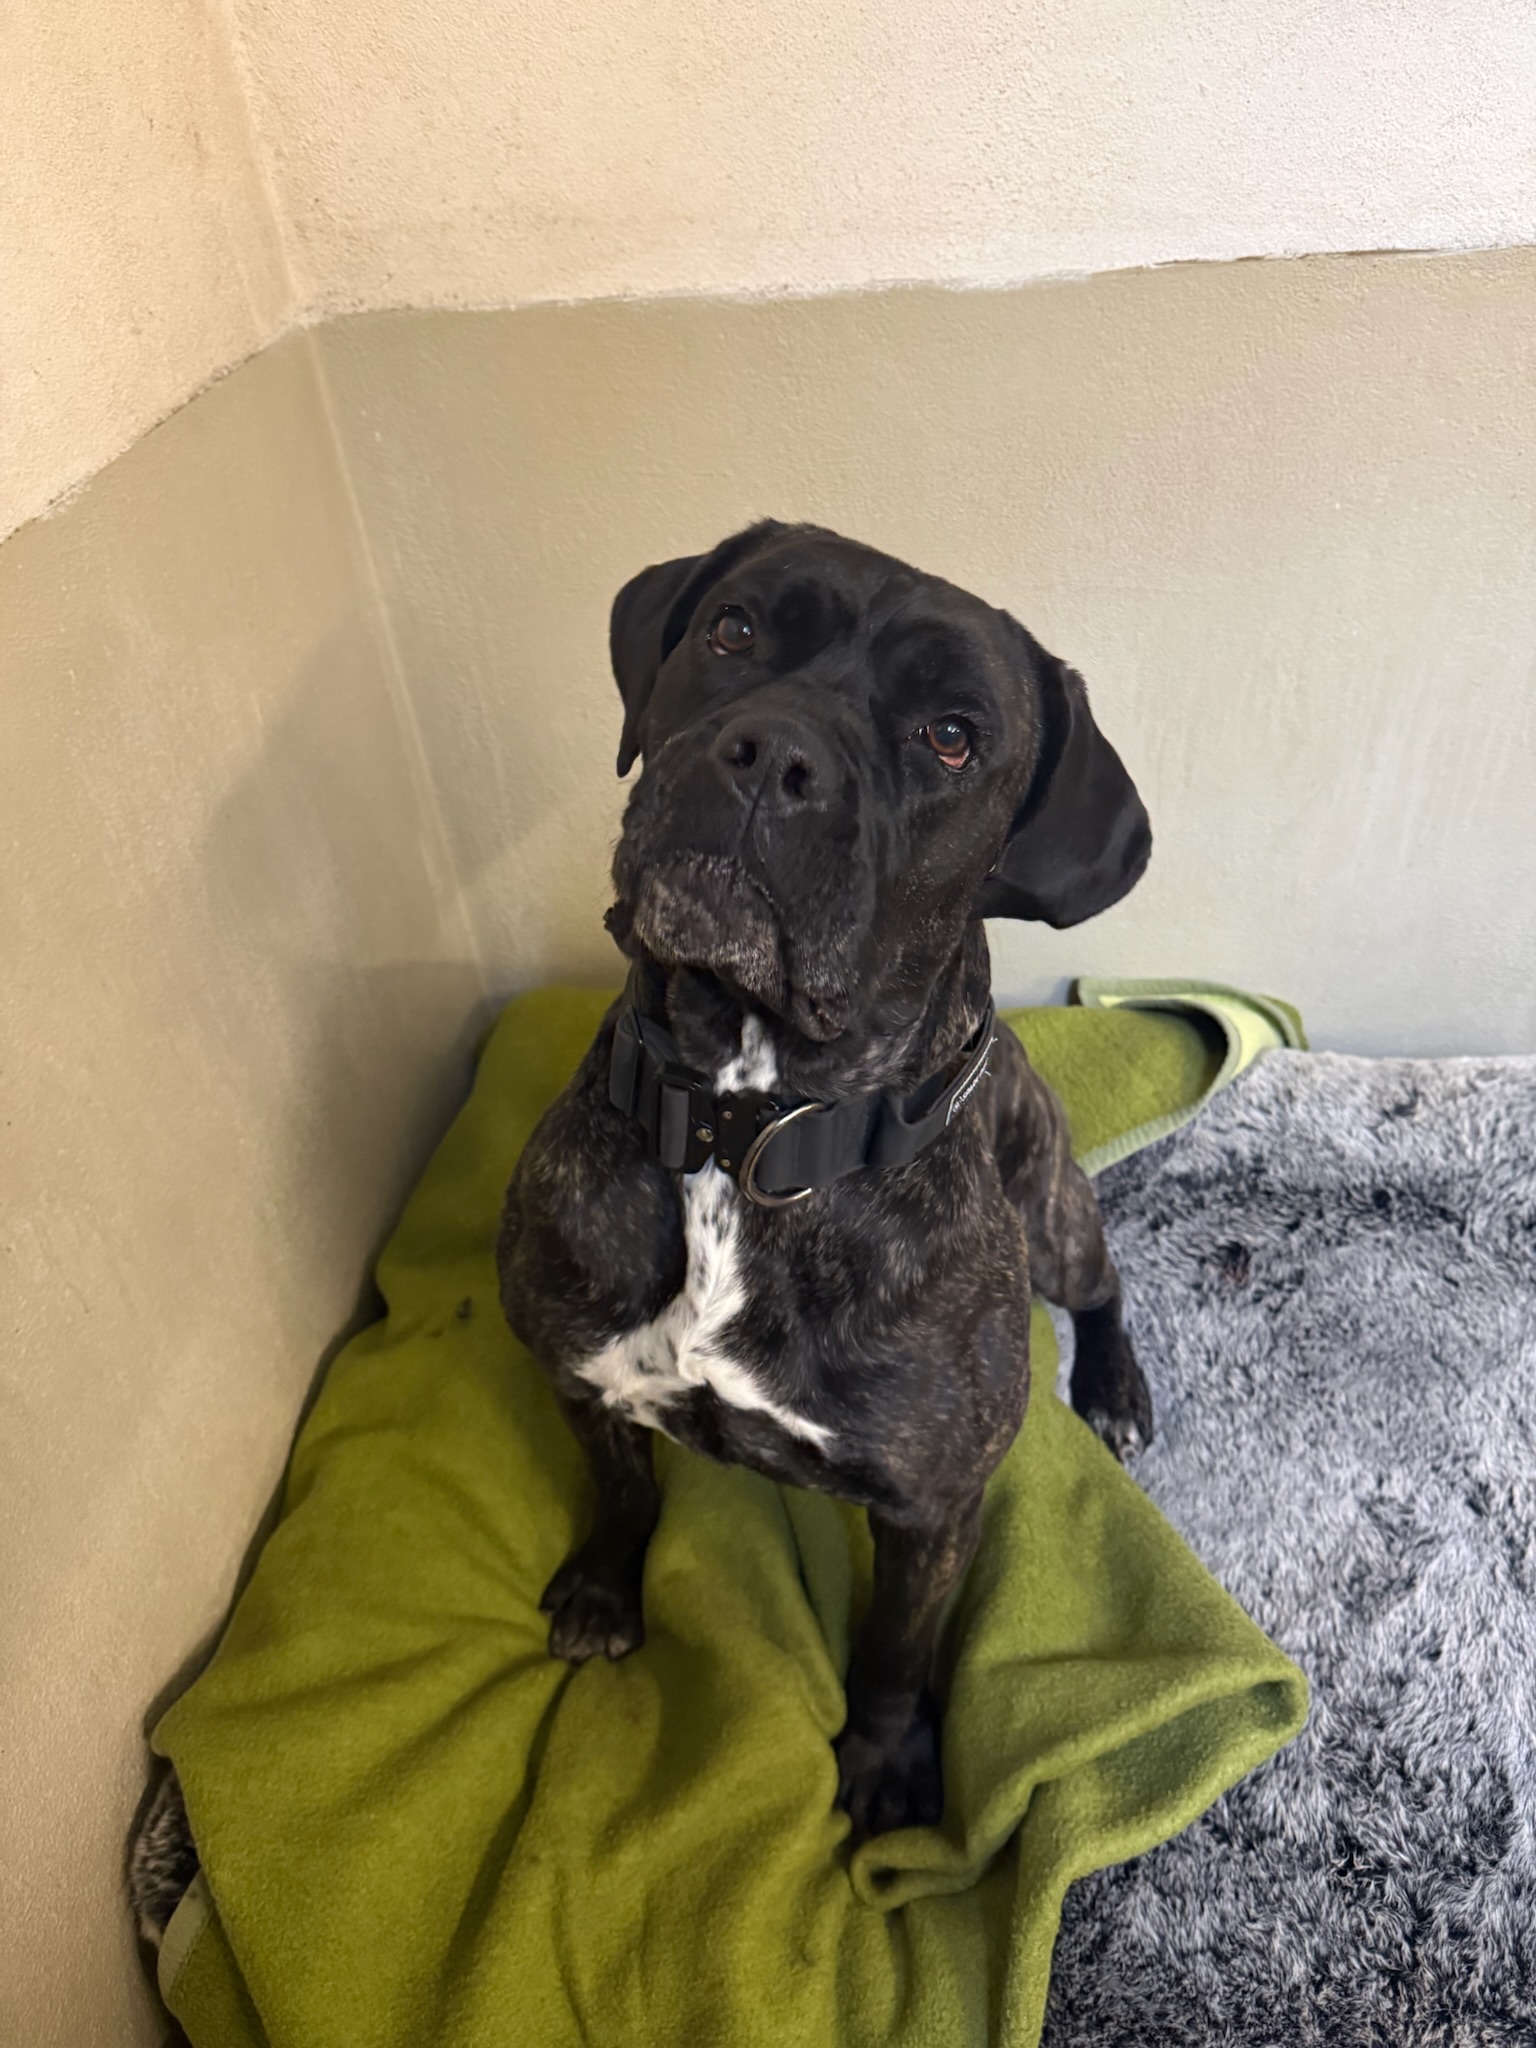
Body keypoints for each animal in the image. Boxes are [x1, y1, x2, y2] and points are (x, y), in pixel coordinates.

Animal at [498, 520, 1154, 1842]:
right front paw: (604, 1586)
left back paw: (1111, 1387)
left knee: (1104, 1280)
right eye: (733, 628)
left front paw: (888, 1760)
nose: (773, 754)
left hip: (1053, 1212)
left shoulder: (932, 1510)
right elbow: (621, 1491)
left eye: (951, 734)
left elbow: (897, 1650)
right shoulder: (579, 1375)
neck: (743, 1122)